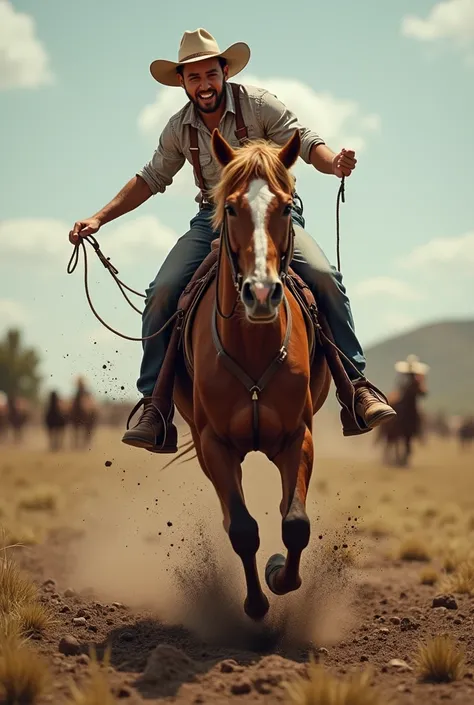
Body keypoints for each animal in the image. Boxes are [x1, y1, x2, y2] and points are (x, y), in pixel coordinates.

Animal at [172, 129, 332, 620]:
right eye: (230, 207)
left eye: (284, 206)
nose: (260, 294)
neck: (254, 346)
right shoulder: (215, 444)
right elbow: (242, 529)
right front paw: (257, 604)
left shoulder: (298, 435)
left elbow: (295, 522)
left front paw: (280, 573)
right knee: (233, 514)